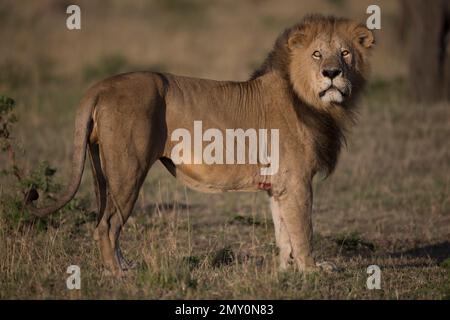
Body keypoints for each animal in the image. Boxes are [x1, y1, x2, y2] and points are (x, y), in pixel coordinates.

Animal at [26, 14, 374, 276]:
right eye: (317, 54)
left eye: (345, 53)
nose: (332, 73)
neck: (316, 102)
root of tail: (99, 86)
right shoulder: (297, 180)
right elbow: (303, 229)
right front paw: (312, 270)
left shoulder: (279, 184)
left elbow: (283, 230)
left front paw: (287, 270)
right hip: (128, 170)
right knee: (107, 225)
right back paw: (118, 274)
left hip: (102, 168)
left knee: (103, 219)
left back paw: (125, 266)